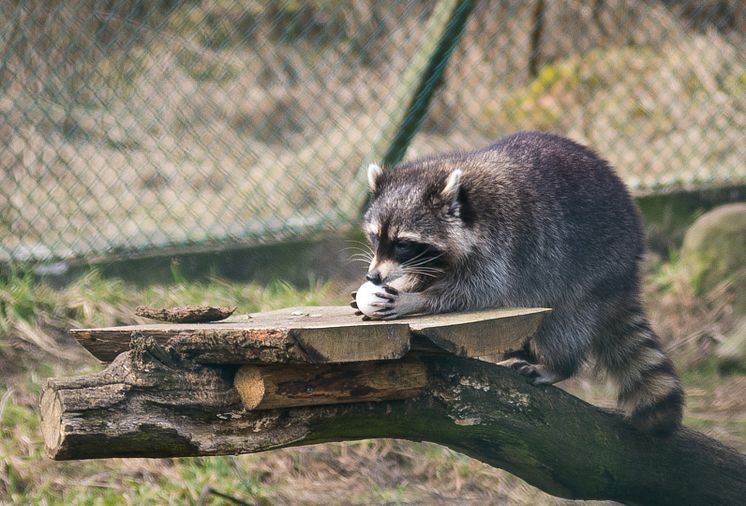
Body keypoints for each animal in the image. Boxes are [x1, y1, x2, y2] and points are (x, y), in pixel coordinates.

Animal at [352, 130, 684, 434]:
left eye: (403, 244)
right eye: (376, 237)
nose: (373, 276)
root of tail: (629, 267)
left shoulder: (501, 245)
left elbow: (476, 292)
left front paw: (415, 299)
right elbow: (429, 273)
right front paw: (406, 285)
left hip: (595, 266)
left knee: (566, 321)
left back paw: (558, 365)